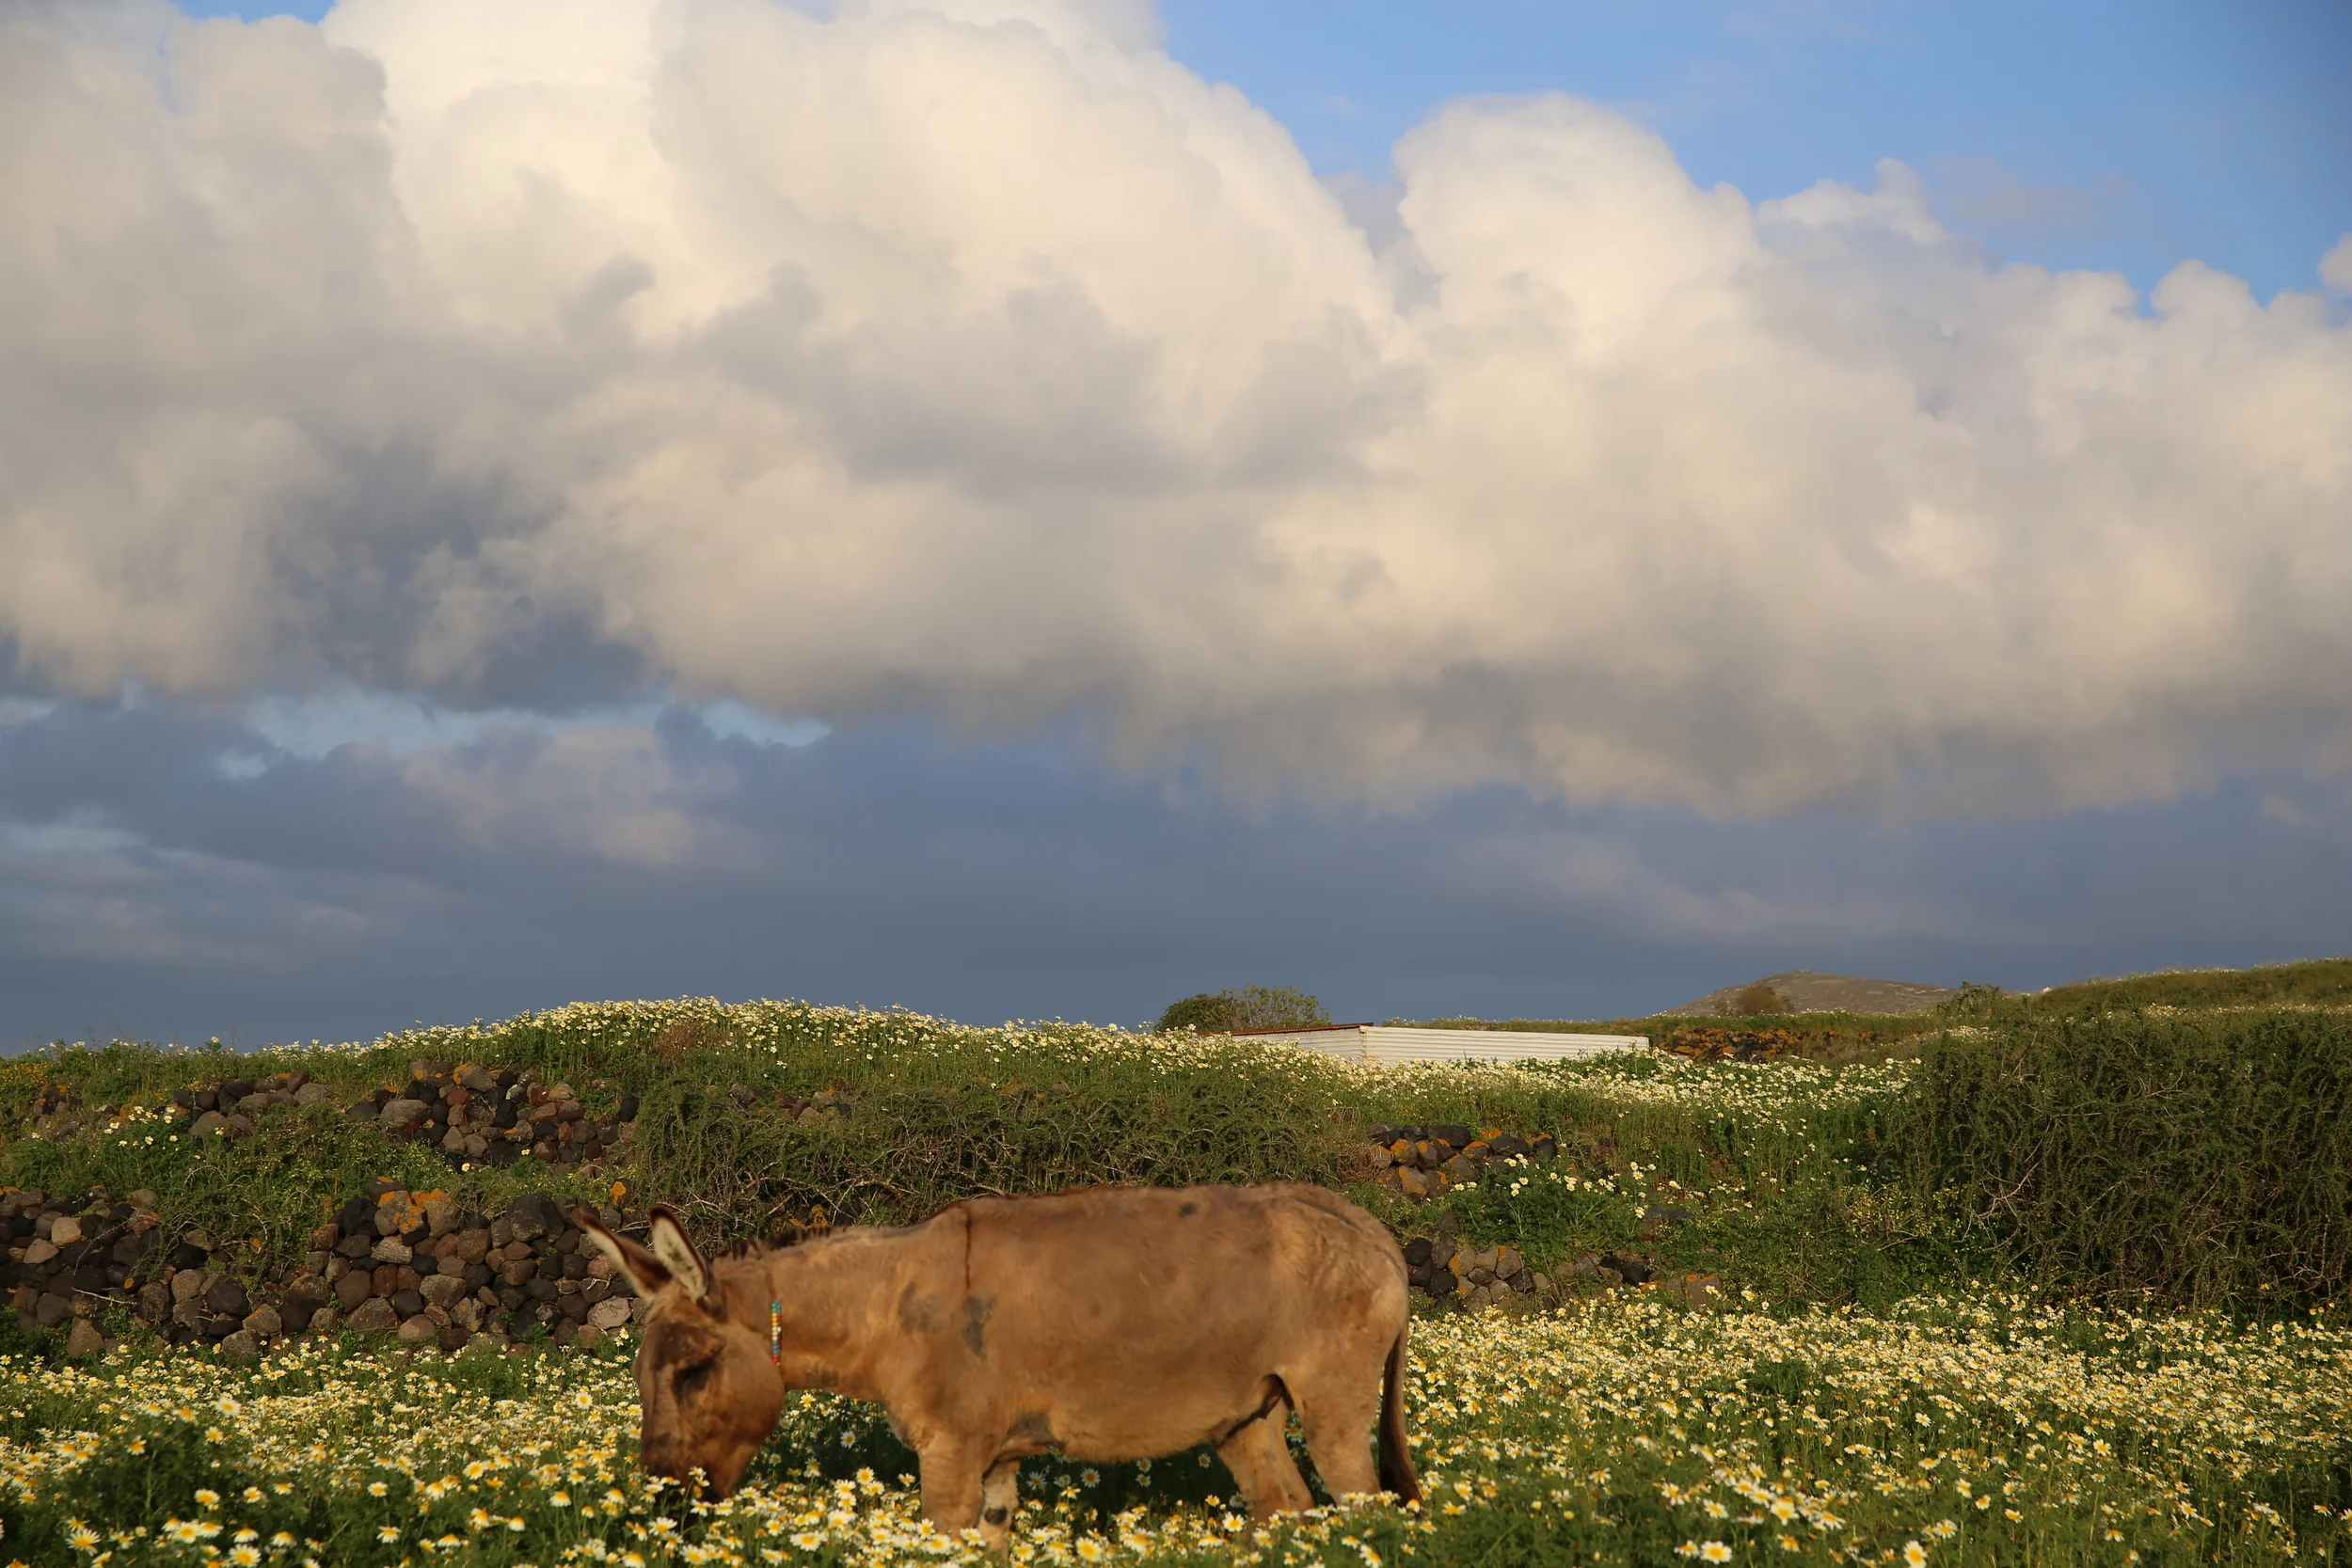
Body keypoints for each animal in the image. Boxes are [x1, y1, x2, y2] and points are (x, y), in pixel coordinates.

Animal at [574, 1183, 1421, 1550]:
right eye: (642, 1379)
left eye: (693, 1372)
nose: (662, 1503)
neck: (887, 1307)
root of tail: (1363, 1221)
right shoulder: (994, 1466)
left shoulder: (948, 1455)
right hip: (1247, 1414)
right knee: (1287, 1508)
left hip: (1334, 1407)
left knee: (1361, 1507)